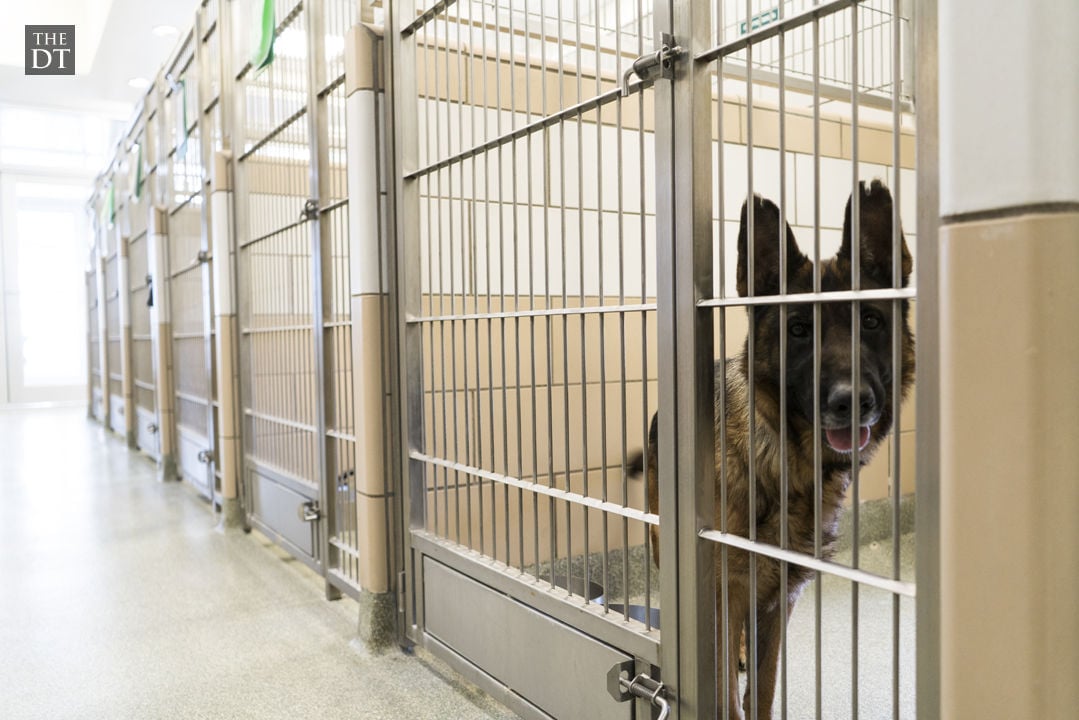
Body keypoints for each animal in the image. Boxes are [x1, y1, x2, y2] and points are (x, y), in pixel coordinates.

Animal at [630, 177, 914, 716]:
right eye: (798, 329)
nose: (852, 402)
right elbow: (726, 695)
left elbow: (762, 688)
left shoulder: (780, 595)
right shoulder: (723, 591)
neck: (784, 463)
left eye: (870, 321)